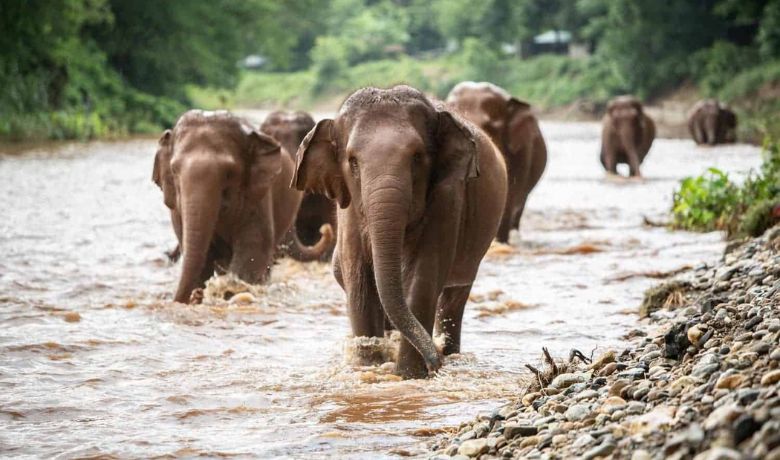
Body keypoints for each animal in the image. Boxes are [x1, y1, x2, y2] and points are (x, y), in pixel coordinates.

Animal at [293, 85, 508, 378]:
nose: (435, 362)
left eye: (417, 157)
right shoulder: (349, 208)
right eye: (352, 162)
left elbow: (424, 275)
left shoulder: (448, 198)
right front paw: (368, 366)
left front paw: (408, 375)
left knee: (455, 295)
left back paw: (448, 352)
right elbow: (359, 279)